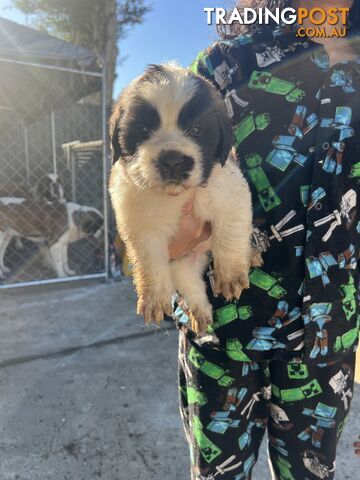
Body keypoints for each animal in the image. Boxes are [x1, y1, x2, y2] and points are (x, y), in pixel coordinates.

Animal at [108, 62, 260, 336]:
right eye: (143, 130)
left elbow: (230, 235)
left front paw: (231, 274)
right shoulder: (140, 222)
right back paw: (200, 313)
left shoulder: (231, 194)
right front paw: (153, 296)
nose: (172, 160)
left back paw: (251, 252)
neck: (177, 195)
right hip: (183, 263)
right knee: (190, 284)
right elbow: (149, 260)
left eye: (197, 131)